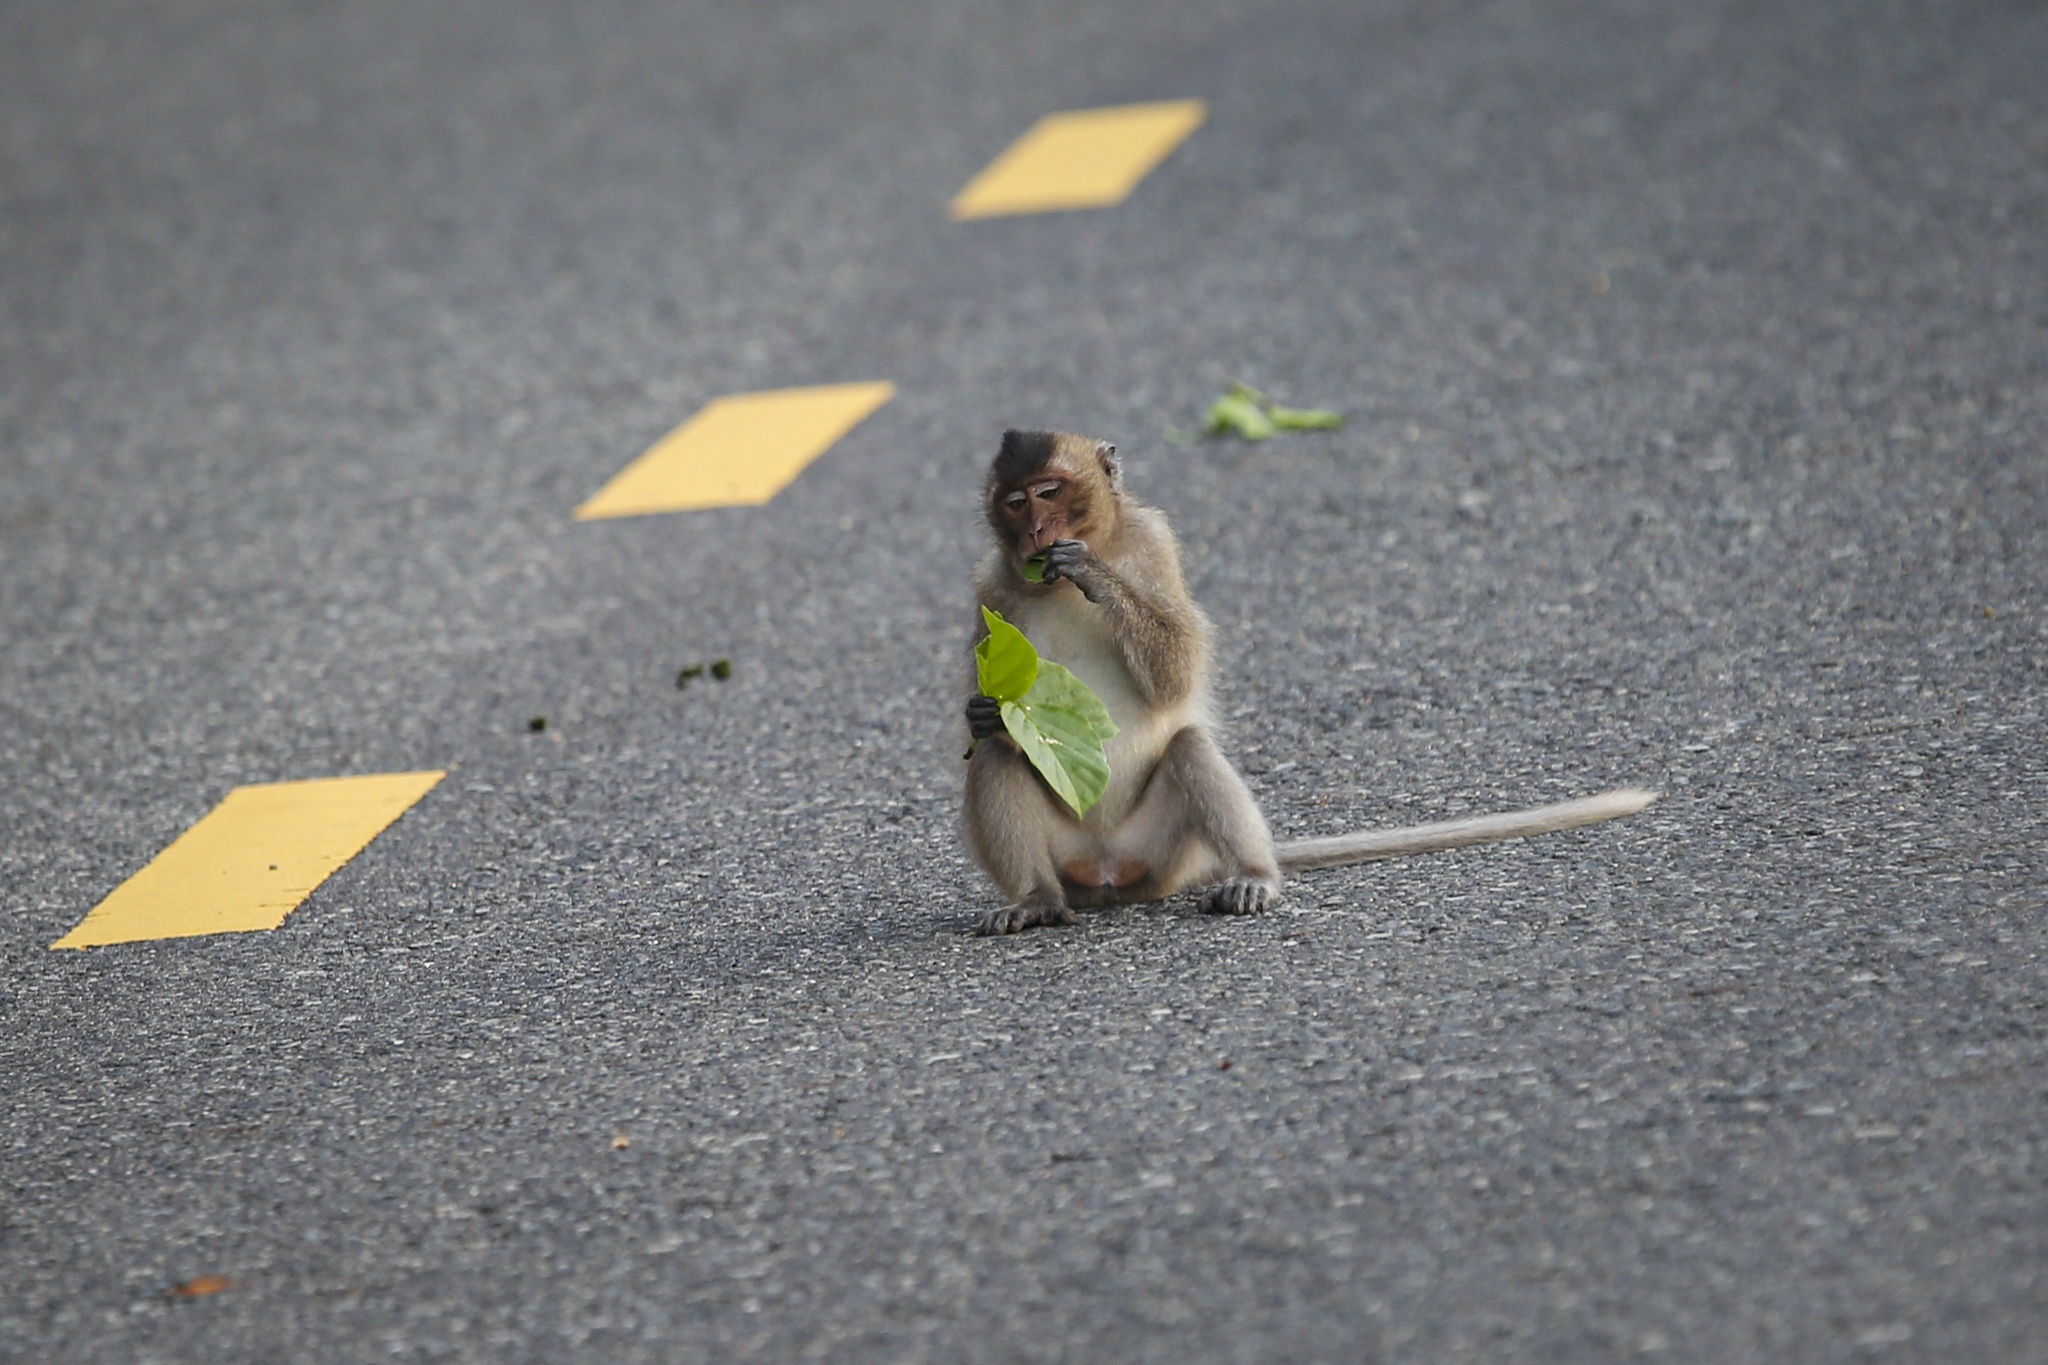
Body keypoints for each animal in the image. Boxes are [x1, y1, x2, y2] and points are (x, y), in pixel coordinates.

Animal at [961, 429, 1655, 936]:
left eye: (1050, 491)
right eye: (1016, 503)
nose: (1037, 533)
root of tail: (1107, 872)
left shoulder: (1153, 545)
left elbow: (1176, 675)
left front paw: (1093, 574)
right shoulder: (992, 588)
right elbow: (993, 715)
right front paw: (983, 712)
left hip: (1162, 852)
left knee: (1188, 747)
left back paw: (1253, 875)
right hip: (1076, 857)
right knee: (999, 758)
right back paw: (1035, 897)